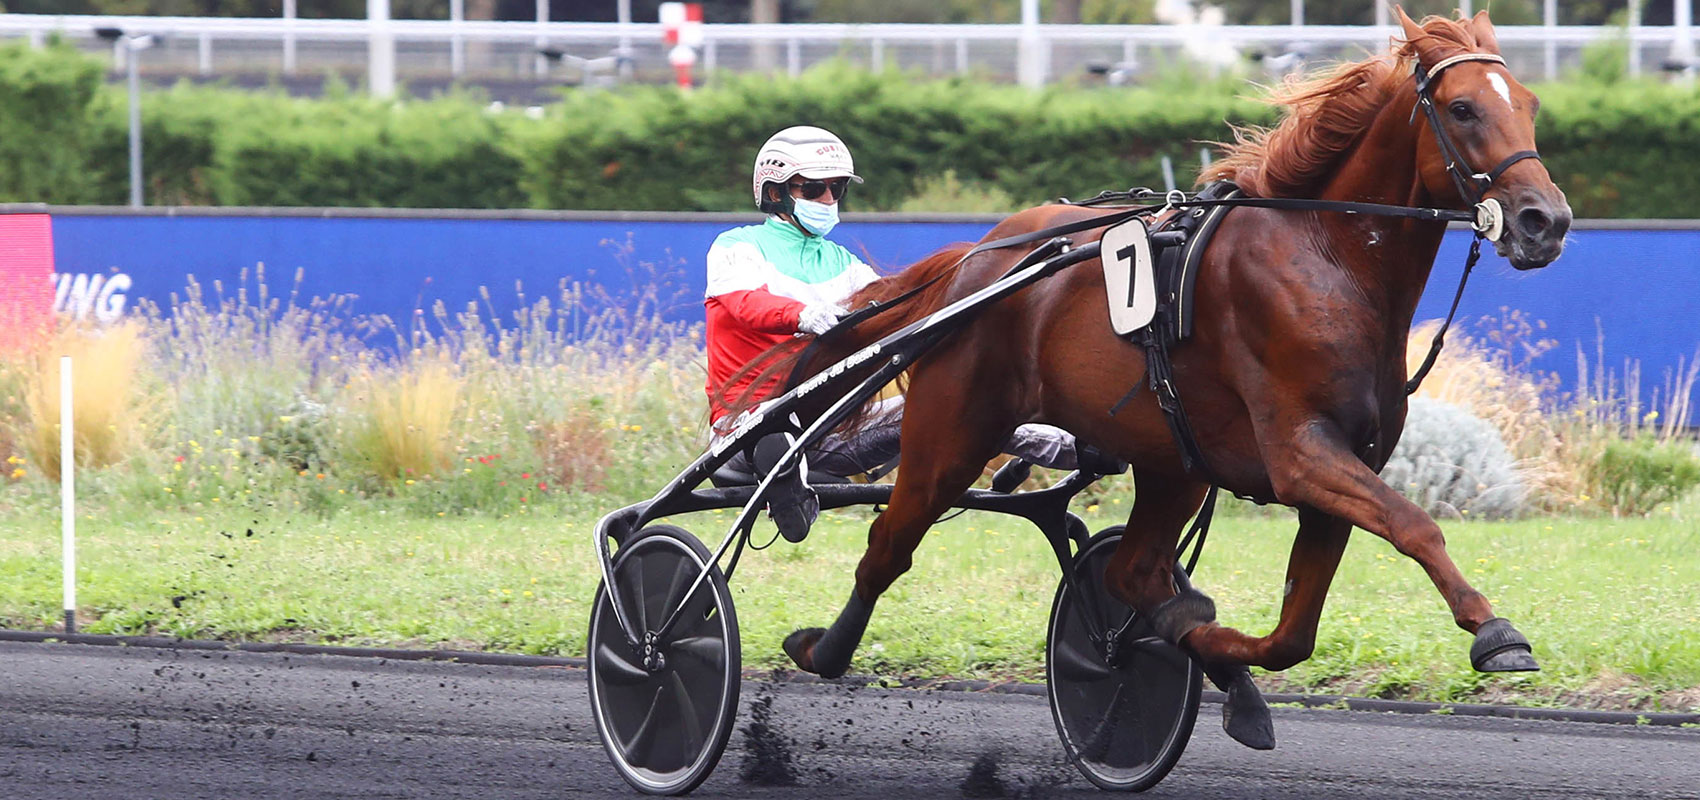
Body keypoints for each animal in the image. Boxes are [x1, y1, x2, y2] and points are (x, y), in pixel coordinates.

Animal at [771, 10, 1564, 750]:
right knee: (888, 546)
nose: (1545, 220)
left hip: (1171, 461)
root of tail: (980, 257)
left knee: (1131, 571)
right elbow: (1414, 524)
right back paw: (822, 649)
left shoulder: (1342, 466)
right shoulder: (1302, 453)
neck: (1324, 257)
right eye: (1462, 108)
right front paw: (1495, 632)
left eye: (1527, 103)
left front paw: (1215, 654)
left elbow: (1293, 633)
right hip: (951, 434)